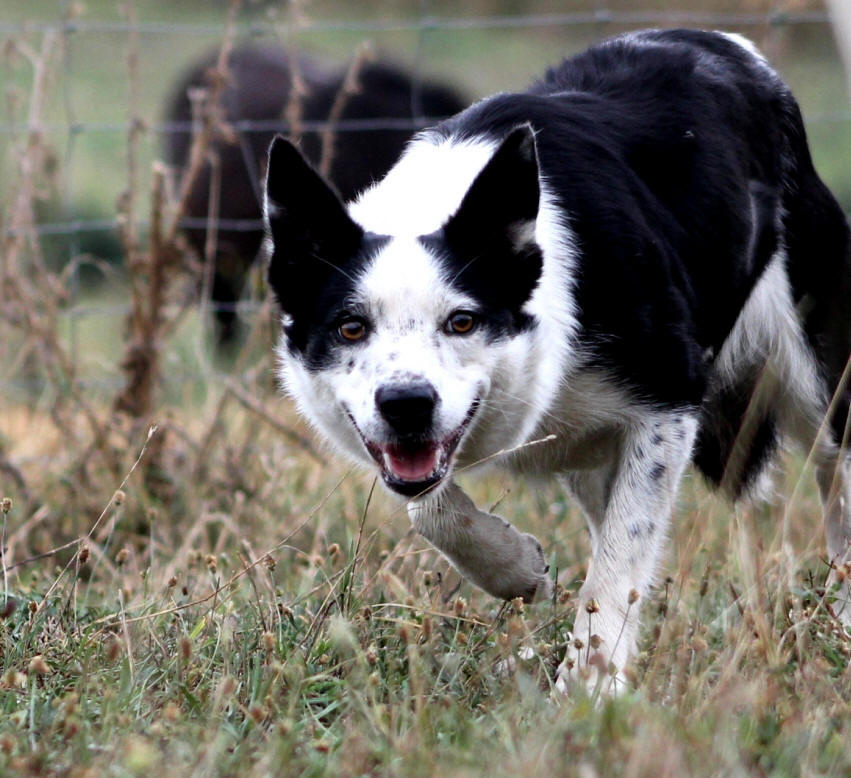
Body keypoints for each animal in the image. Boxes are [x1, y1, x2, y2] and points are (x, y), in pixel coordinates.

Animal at [264, 30, 851, 692]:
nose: (406, 405)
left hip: (817, 380)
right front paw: (517, 569)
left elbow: (621, 554)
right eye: (351, 327)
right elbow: (430, 507)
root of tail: (736, 51)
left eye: (462, 321)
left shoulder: (668, 404)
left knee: (837, 477)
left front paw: (589, 688)